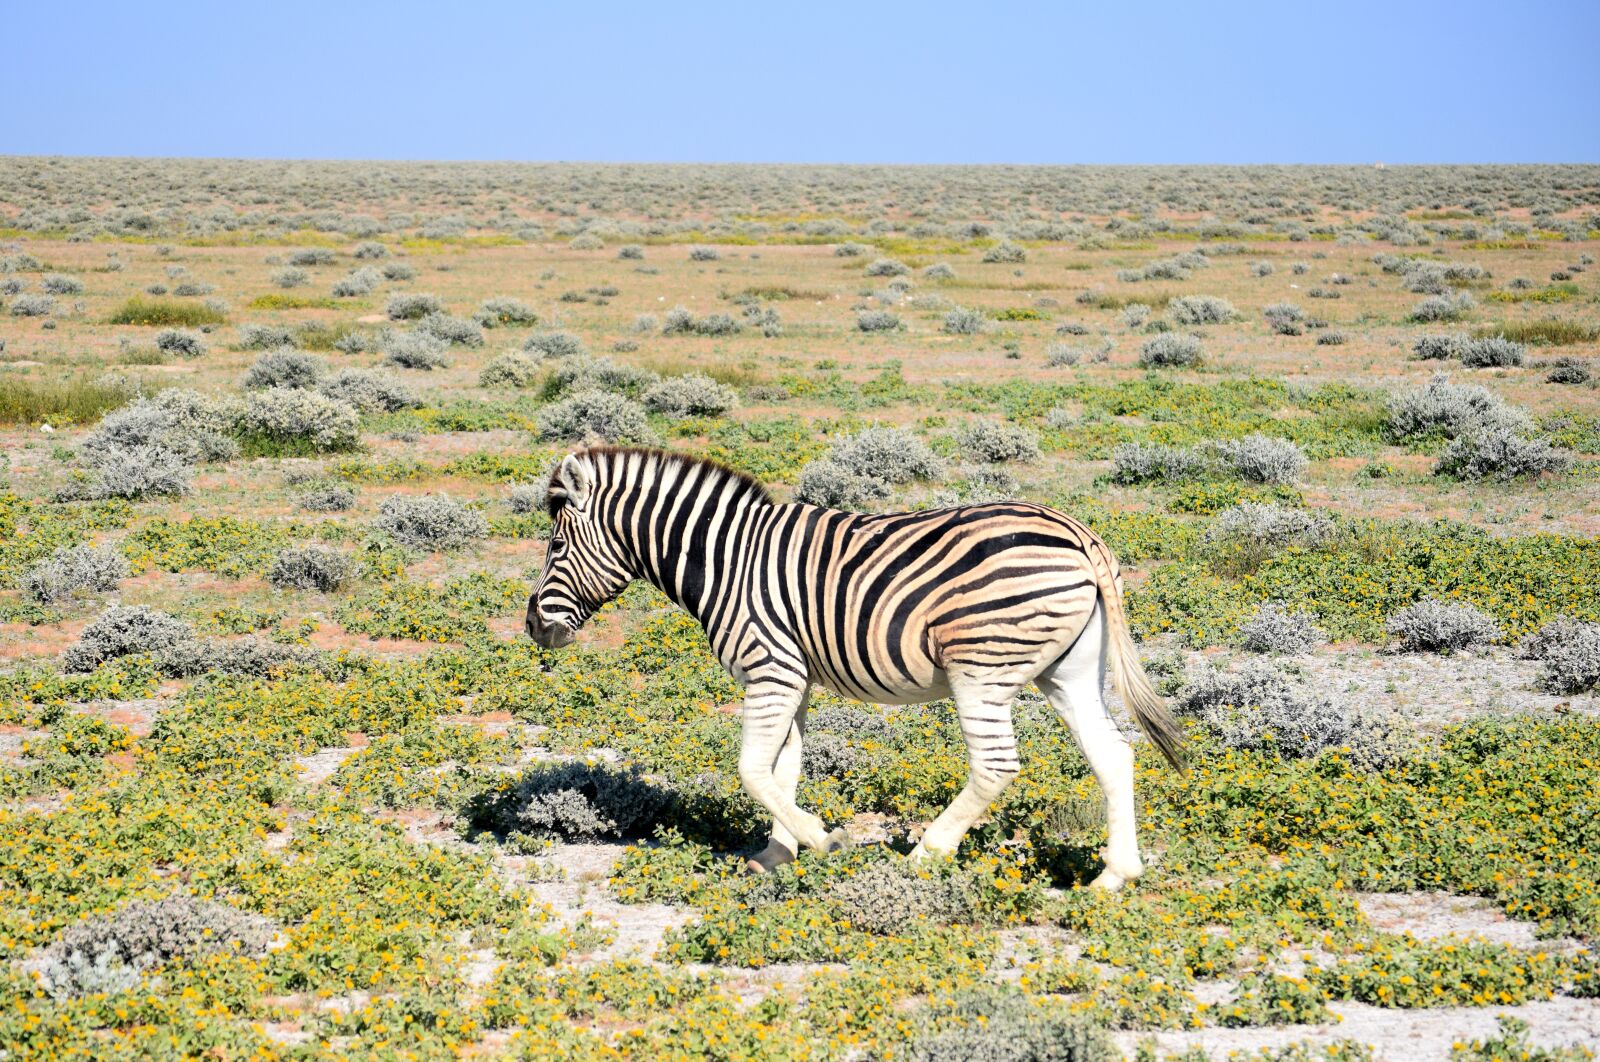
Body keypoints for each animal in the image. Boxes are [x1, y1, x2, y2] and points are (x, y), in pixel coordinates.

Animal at [525, 446, 1183, 889]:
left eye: (555, 546)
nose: (533, 627)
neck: (726, 561)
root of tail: (1078, 534)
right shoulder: (794, 678)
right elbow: (782, 768)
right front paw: (778, 855)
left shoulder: (770, 669)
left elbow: (751, 770)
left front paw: (825, 839)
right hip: (1068, 671)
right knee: (1114, 755)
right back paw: (1114, 877)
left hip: (981, 667)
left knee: (996, 766)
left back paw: (926, 855)